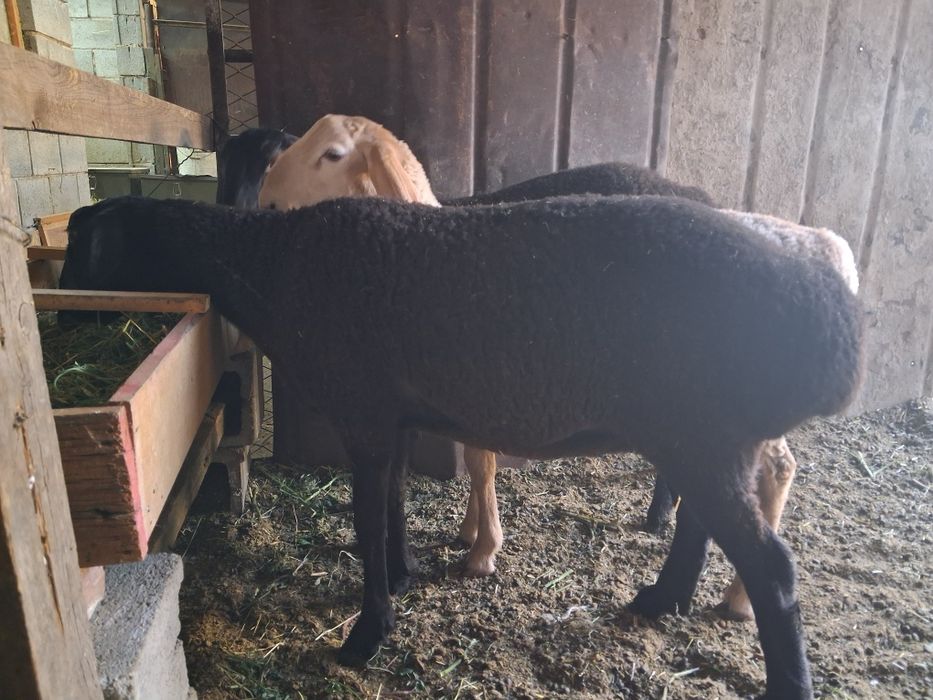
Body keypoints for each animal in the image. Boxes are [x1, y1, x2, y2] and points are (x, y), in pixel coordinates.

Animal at [60, 192, 863, 699]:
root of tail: (836, 329)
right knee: (702, 525)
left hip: (705, 429)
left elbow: (365, 518)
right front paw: (404, 576)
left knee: (773, 569)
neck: (274, 268)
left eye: (79, 245)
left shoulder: (362, 409)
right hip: (705, 432)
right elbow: (388, 507)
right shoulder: (391, 417)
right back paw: (661, 600)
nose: (64, 311)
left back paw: (781, 683)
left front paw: (365, 636)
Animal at [258, 116, 860, 622]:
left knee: (777, 471)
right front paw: (469, 532)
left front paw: (483, 550)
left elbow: (481, 462)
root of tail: (826, 247)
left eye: (332, 154)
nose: (265, 199)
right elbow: (475, 461)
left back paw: (734, 596)